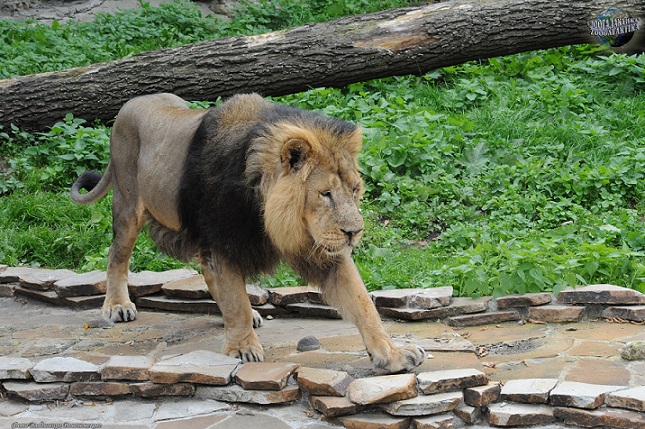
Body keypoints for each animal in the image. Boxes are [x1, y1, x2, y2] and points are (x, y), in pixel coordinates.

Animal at [70, 93, 426, 372]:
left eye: (354, 190)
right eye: (324, 193)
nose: (354, 232)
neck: (268, 211)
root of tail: (130, 104)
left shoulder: (321, 249)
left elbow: (363, 302)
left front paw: (392, 353)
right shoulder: (222, 239)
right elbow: (235, 299)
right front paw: (242, 348)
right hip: (128, 204)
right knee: (116, 254)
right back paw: (117, 305)